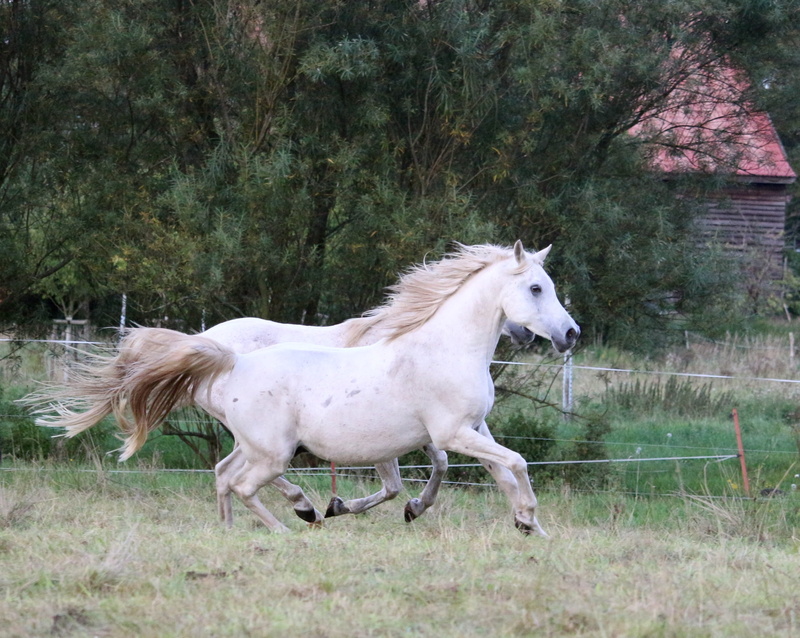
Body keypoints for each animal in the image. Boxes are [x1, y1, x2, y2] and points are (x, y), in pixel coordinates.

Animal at [29, 241, 579, 534]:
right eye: (536, 288)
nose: (570, 334)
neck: (442, 348)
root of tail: (228, 358)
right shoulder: (450, 434)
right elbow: (513, 463)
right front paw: (528, 519)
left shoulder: (474, 429)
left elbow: (501, 472)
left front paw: (530, 526)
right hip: (273, 452)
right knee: (245, 483)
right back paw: (294, 521)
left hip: (256, 444)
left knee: (224, 475)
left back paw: (235, 529)